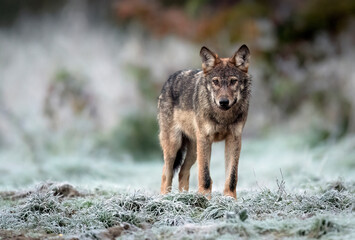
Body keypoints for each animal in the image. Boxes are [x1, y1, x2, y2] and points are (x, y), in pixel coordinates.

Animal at [157, 45, 252, 199]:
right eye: (215, 82)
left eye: (233, 81)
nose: (223, 102)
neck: (223, 117)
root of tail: (169, 79)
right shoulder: (205, 138)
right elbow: (205, 176)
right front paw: (204, 198)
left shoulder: (234, 139)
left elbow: (232, 177)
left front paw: (230, 199)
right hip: (174, 146)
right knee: (167, 173)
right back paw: (165, 198)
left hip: (194, 151)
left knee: (183, 171)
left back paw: (184, 197)